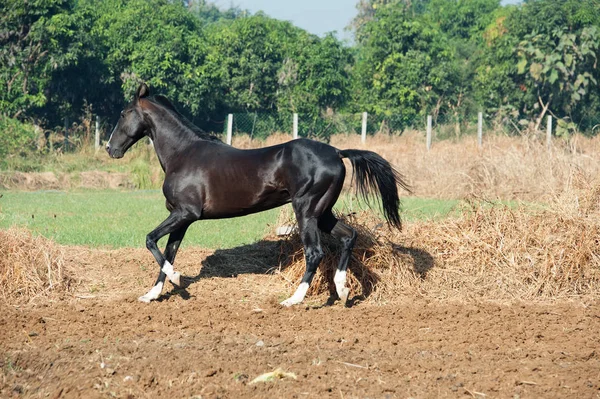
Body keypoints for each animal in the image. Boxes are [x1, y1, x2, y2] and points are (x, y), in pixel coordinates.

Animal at [105, 83, 410, 306]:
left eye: (123, 113)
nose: (110, 149)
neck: (183, 153)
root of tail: (336, 152)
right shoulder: (182, 218)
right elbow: (168, 252)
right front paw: (152, 294)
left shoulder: (185, 213)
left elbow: (150, 241)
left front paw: (178, 279)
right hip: (322, 213)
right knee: (348, 237)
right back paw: (343, 290)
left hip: (306, 211)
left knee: (314, 252)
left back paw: (293, 299)